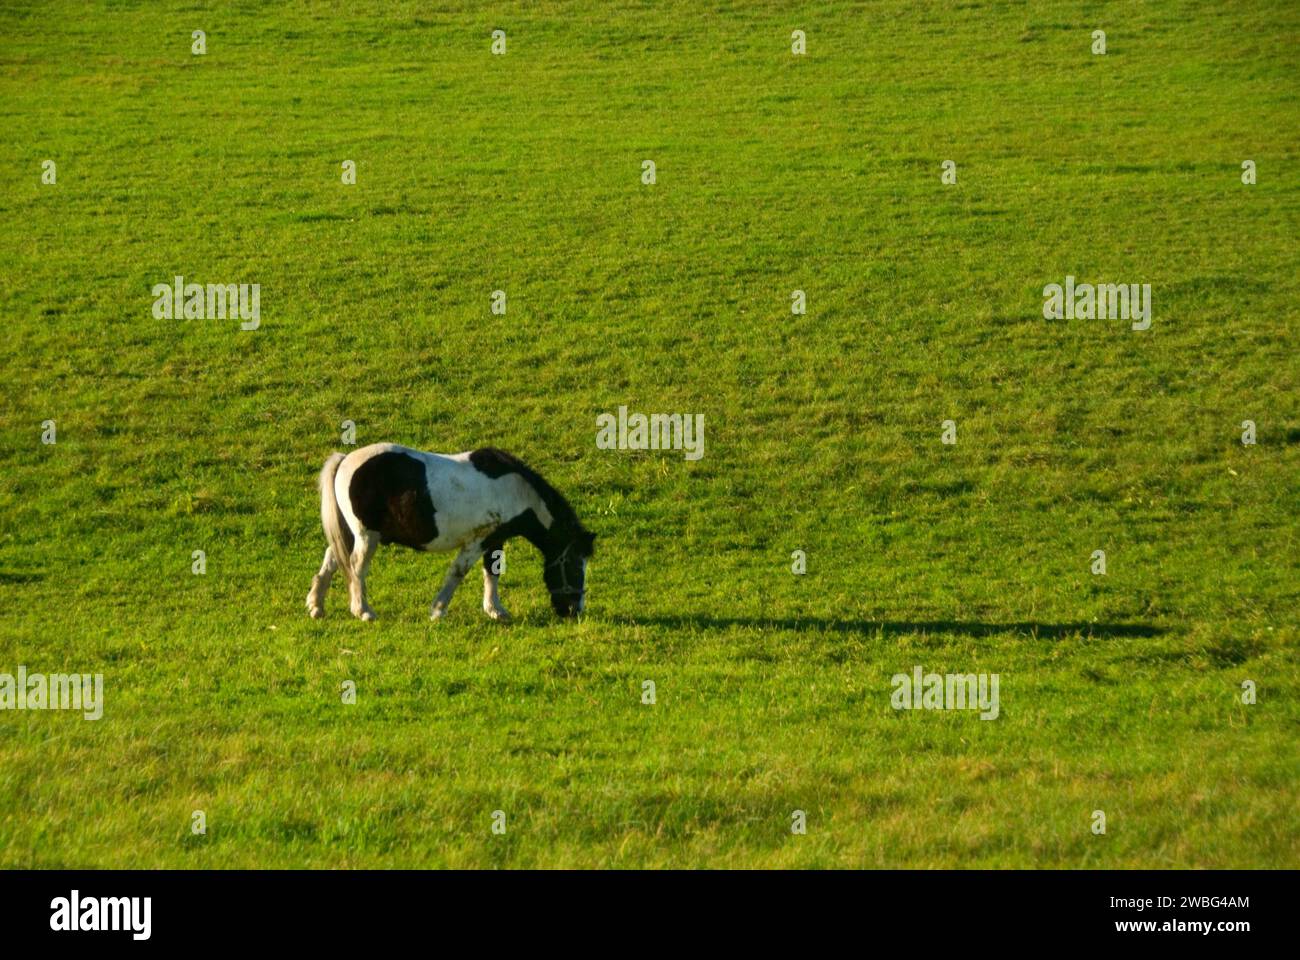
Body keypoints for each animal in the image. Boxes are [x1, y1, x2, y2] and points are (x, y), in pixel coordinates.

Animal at [304, 442, 595, 621]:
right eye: (574, 567)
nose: (574, 611)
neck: (513, 489)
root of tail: (345, 460)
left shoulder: (494, 541)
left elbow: (492, 573)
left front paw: (495, 610)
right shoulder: (476, 541)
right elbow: (457, 573)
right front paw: (438, 610)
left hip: (350, 534)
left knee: (331, 561)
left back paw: (316, 606)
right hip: (366, 536)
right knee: (356, 568)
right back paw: (362, 611)